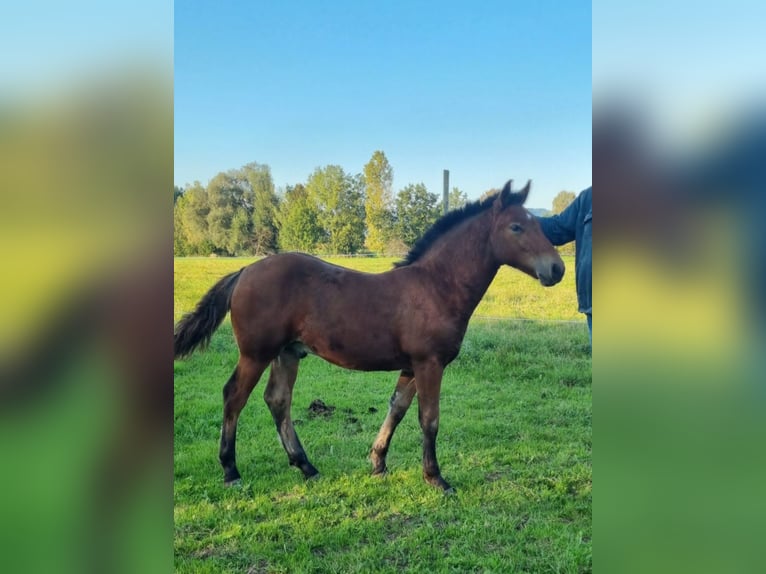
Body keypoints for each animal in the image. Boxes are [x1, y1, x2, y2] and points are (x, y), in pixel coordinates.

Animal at [174, 179, 565, 493]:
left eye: (538, 224)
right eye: (516, 227)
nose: (557, 269)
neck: (436, 286)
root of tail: (243, 271)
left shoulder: (412, 365)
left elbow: (397, 408)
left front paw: (378, 463)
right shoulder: (430, 363)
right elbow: (429, 419)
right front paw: (436, 478)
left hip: (287, 352)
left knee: (277, 401)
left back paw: (306, 466)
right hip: (256, 353)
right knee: (234, 398)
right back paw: (231, 471)